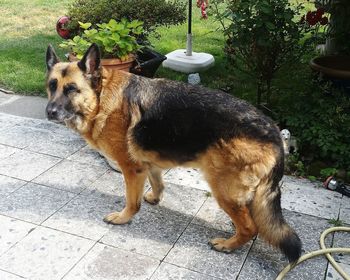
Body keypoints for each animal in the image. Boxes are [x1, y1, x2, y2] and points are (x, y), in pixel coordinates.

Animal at [45, 43, 302, 262]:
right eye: (51, 86)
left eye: (71, 89)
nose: (49, 112)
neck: (100, 98)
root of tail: (274, 133)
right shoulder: (148, 164)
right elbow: (158, 183)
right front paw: (154, 198)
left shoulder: (131, 169)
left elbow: (131, 202)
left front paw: (123, 218)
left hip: (223, 190)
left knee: (250, 227)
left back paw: (228, 245)